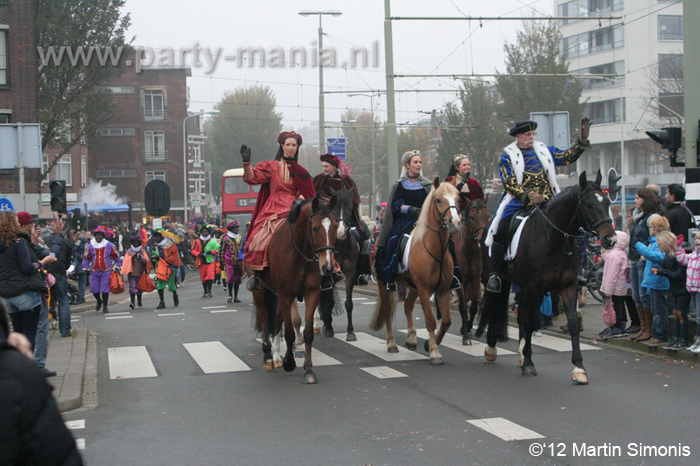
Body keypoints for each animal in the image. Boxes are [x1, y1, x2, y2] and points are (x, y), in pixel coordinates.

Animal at [252, 198, 340, 384]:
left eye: (336, 226)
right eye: (315, 228)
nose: (327, 267)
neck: (300, 253)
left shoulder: (311, 292)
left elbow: (307, 333)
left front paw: (308, 370)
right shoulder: (286, 294)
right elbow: (290, 333)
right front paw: (289, 363)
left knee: (277, 318)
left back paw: (276, 355)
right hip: (259, 289)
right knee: (264, 318)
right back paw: (268, 357)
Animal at [318, 190, 360, 342]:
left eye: (350, 209)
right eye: (334, 209)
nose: (340, 233)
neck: (341, 246)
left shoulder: (350, 273)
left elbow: (349, 303)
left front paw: (350, 332)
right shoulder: (328, 275)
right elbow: (329, 301)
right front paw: (328, 327)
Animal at [370, 177, 462, 364]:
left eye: (457, 199)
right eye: (438, 200)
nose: (455, 223)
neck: (435, 249)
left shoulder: (441, 289)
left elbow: (446, 321)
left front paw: (429, 343)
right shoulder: (425, 289)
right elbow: (430, 320)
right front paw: (434, 352)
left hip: (413, 286)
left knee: (407, 306)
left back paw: (411, 339)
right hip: (385, 283)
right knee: (387, 311)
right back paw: (391, 343)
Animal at [454, 197, 492, 346]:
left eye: (488, 216)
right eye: (472, 216)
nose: (482, 239)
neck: (469, 250)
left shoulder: (475, 279)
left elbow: (474, 306)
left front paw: (468, 329)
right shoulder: (461, 281)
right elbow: (463, 305)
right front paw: (466, 335)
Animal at [476, 169, 616, 384]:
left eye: (607, 202)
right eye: (588, 204)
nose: (610, 238)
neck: (554, 239)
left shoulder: (567, 286)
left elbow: (572, 323)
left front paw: (579, 368)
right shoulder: (532, 287)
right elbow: (531, 322)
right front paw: (529, 363)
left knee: (523, 315)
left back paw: (520, 352)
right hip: (496, 279)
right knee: (495, 307)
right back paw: (492, 348)